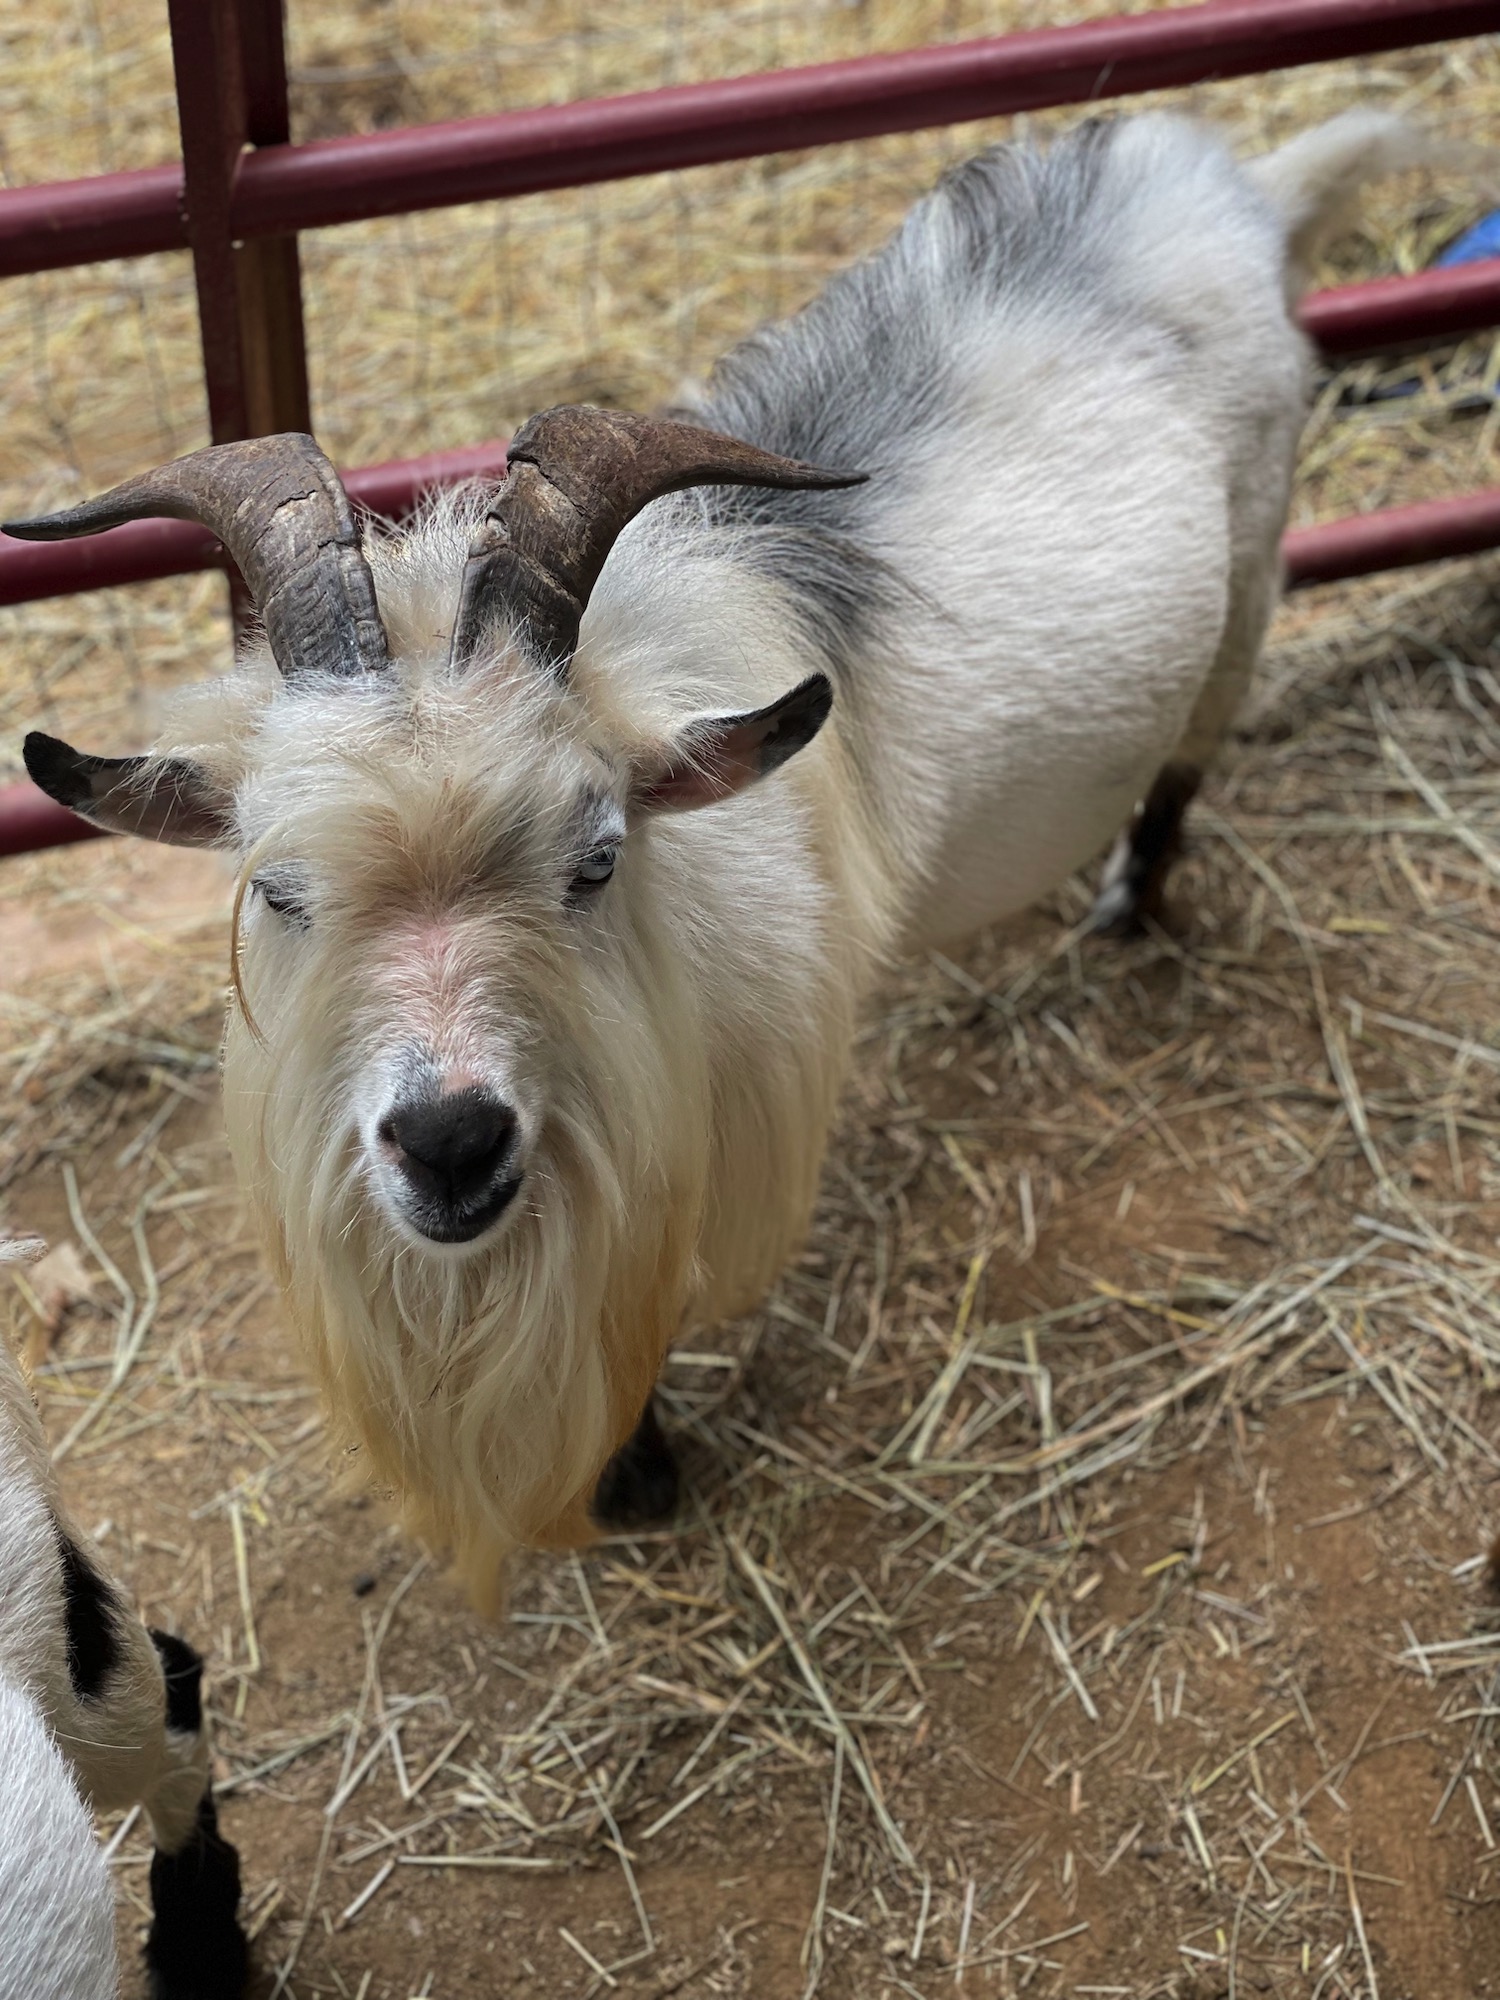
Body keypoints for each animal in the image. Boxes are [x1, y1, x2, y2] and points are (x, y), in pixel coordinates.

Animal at [14, 109, 1424, 1608]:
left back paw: (1130, 908)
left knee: (1187, 763)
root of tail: (1232, 184)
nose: (451, 1141)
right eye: (279, 891)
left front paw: (642, 1476)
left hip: (1255, 570)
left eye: (594, 862)